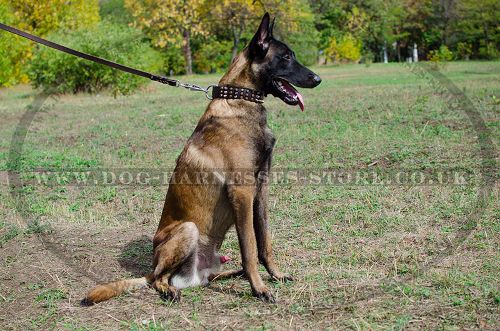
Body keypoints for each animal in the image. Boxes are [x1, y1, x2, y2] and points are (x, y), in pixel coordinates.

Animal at [82, 13, 322, 304]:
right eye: (286, 57)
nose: (318, 78)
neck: (240, 100)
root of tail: (194, 276)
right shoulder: (242, 192)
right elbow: (250, 247)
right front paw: (260, 288)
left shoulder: (260, 190)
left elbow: (264, 242)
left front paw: (274, 275)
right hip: (187, 230)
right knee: (158, 279)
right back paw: (169, 289)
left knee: (211, 276)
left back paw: (233, 273)